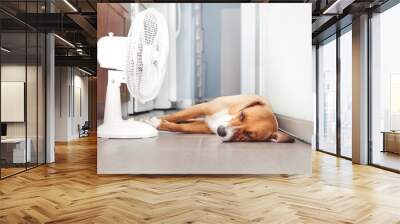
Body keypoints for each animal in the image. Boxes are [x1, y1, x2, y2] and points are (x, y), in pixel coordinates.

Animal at [145, 94, 296, 143]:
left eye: (248, 135)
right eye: (242, 115)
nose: (221, 131)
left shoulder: (205, 127)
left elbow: (180, 126)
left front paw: (159, 123)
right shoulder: (202, 107)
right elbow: (175, 115)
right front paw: (153, 120)